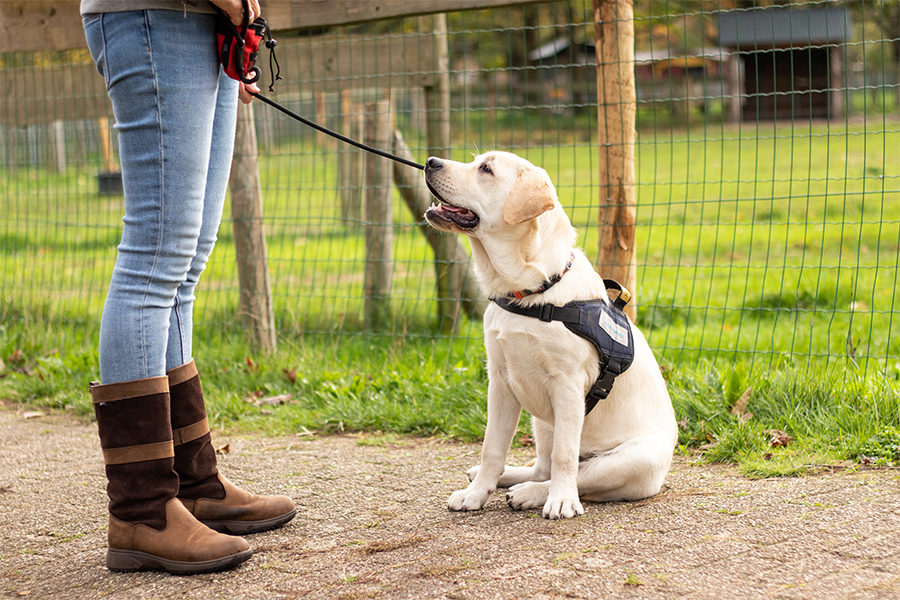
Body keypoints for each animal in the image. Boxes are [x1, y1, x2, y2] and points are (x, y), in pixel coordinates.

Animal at [426, 151, 680, 520]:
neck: (532, 291)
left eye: (486, 169)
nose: (430, 161)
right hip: (542, 422)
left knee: (578, 472)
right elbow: (492, 447)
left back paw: (532, 494)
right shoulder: (500, 381)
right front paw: (476, 495)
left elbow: (565, 457)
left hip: (635, 457)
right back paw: (509, 478)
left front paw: (561, 501)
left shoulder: (568, 385)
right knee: (541, 466)